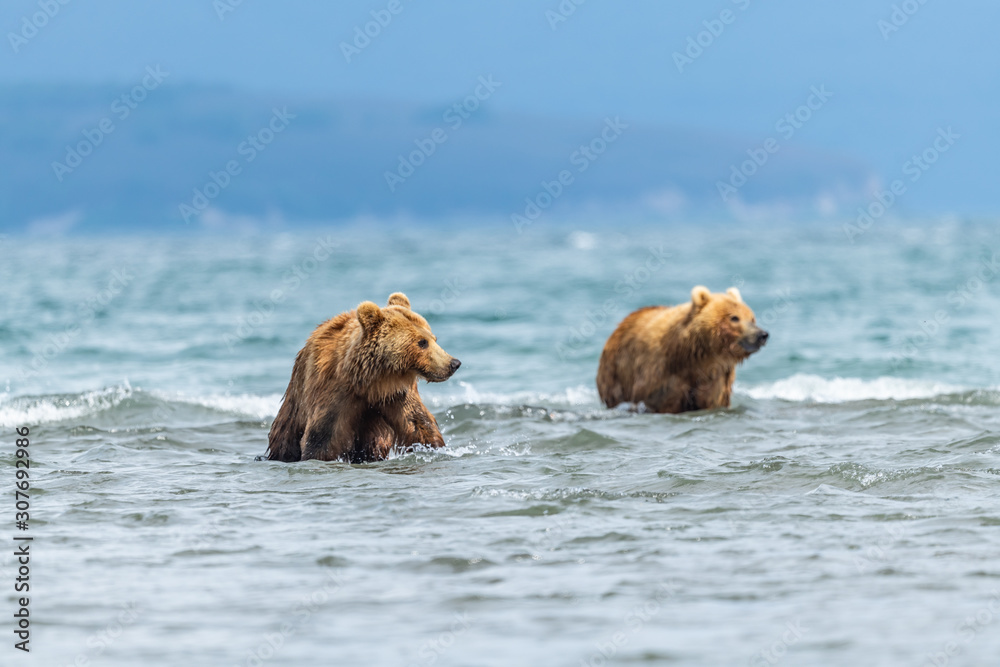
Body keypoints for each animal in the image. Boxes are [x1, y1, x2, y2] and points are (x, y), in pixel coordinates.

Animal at [266, 293, 461, 463]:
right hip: (297, 399)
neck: (373, 381)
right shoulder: (335, 392)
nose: (454, 363)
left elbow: (417, 424)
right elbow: (323, 437)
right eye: (422, 342)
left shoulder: (398, 394)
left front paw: (435, 448)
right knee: (286, 434)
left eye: (434, 338)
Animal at [596, 286, 768, 413]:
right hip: (616, 372)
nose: (762, 334)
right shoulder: (662, 373)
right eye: (734, 318)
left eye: (752, 318)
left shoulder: (715, 378)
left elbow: (711, 401)